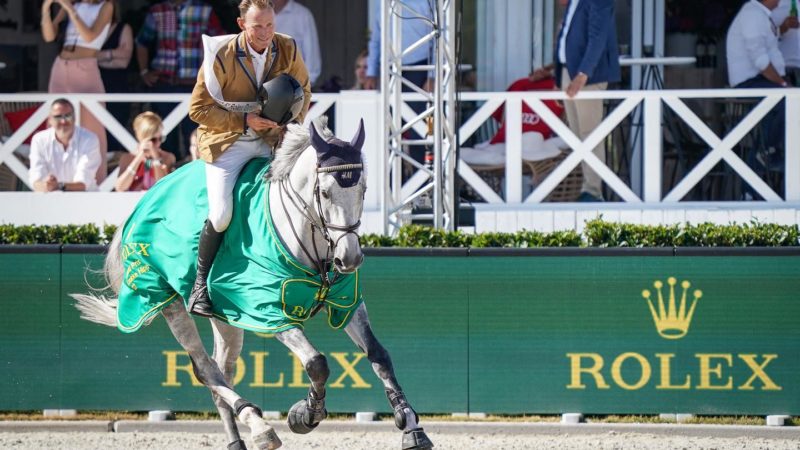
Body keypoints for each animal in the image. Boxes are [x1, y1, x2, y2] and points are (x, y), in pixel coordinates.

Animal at [74, 119, 434, 450]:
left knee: (223, 369)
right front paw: (306, 414)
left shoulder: (346, 304)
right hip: (169, 301)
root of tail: (147, 198)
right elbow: (317, 363)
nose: (350, 258)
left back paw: (240, 439)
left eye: (363, 190)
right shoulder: (270, 312)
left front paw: (410, 424)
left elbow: (379, 356)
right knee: (205, 368)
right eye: (325, 192)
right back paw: (259, 424)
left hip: (227, 317)